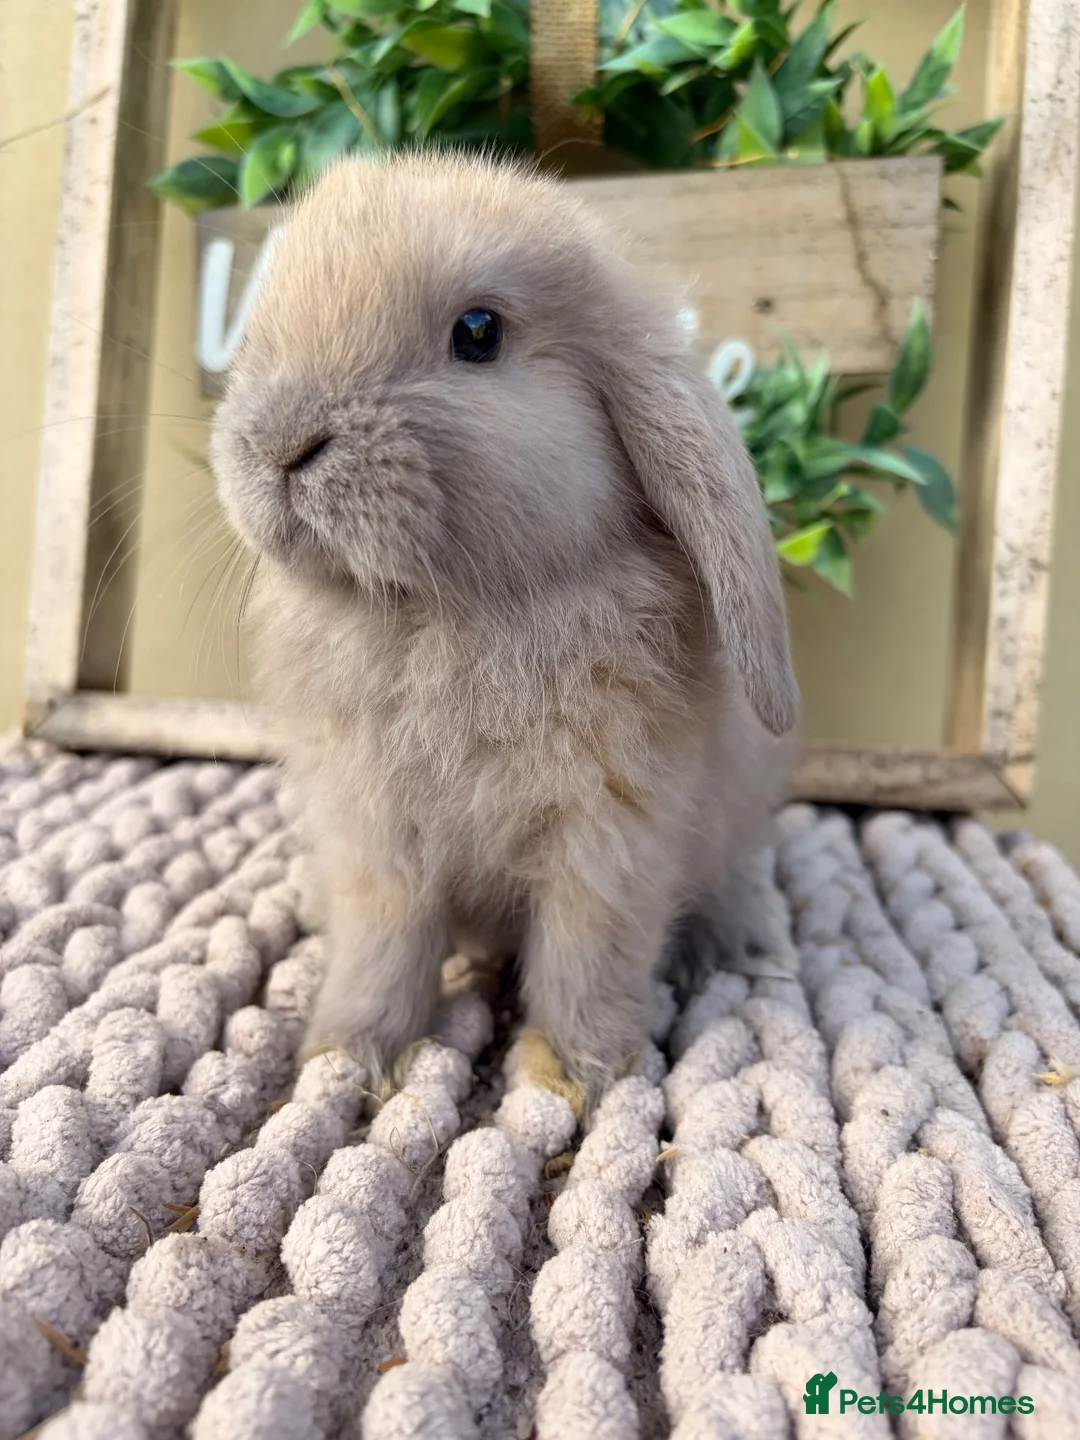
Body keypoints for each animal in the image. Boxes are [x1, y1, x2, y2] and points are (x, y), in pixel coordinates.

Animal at [210, 149, 800, 1113]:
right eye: (258, 327)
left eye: (479, 332)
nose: (282, 443)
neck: (436, 614)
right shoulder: (378, 844)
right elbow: (383, 949)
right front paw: (345, 1060)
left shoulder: (608, 840)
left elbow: (586, 958)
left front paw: (576, 1077)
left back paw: (744, 945)